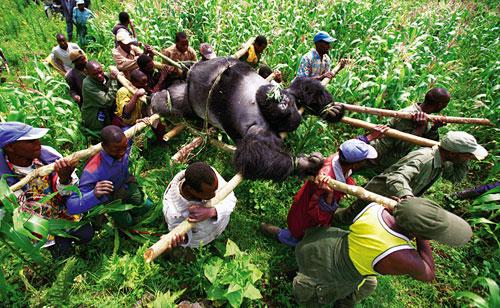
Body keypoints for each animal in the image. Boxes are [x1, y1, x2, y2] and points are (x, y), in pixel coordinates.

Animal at [149, 56, 344, 182]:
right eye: (280, 103)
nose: (281, 101)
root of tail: (190, 71)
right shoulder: (260, 128)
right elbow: (252, 154)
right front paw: (303, 163)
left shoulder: (290, 95)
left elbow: (303, 86)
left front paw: (330, 110)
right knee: (171, 101)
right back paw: (160, 98)